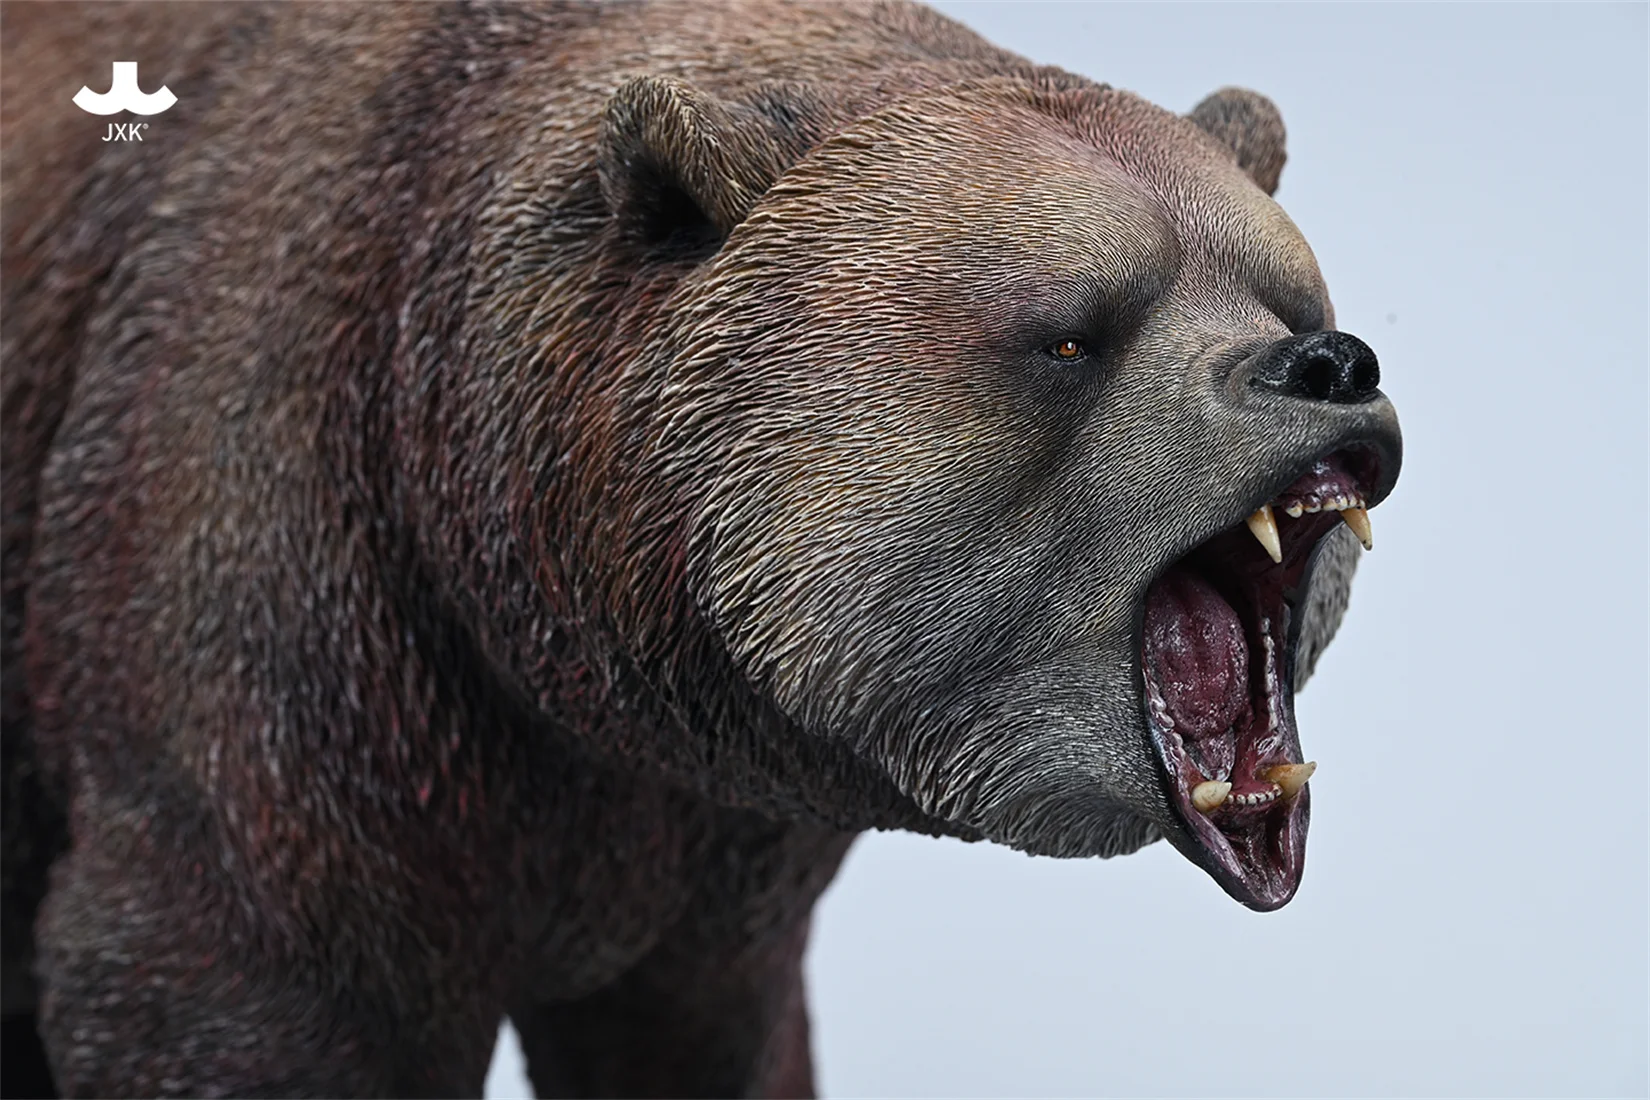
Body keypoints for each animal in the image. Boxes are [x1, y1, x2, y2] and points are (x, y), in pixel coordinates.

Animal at [0, 1, 1401, 1095]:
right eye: (1071, 331)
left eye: (1285, 293)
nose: (1328, 366)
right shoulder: (291, 634)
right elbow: (233, 990)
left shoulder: (708, 858)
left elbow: (695, 1032)